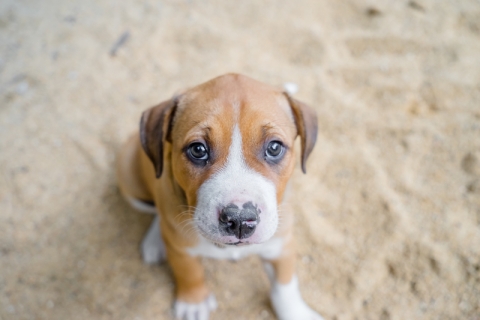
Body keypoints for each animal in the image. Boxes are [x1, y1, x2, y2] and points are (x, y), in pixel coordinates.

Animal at [117, 74, 322, 318]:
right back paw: (155, 240)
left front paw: (295, 312)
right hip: (132, 183)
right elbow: (189, 271)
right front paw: (194, 302)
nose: (240, 220)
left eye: (274, 147)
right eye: (198, 150)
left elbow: (285, 285)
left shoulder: (282, 244)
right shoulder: (181, 250)